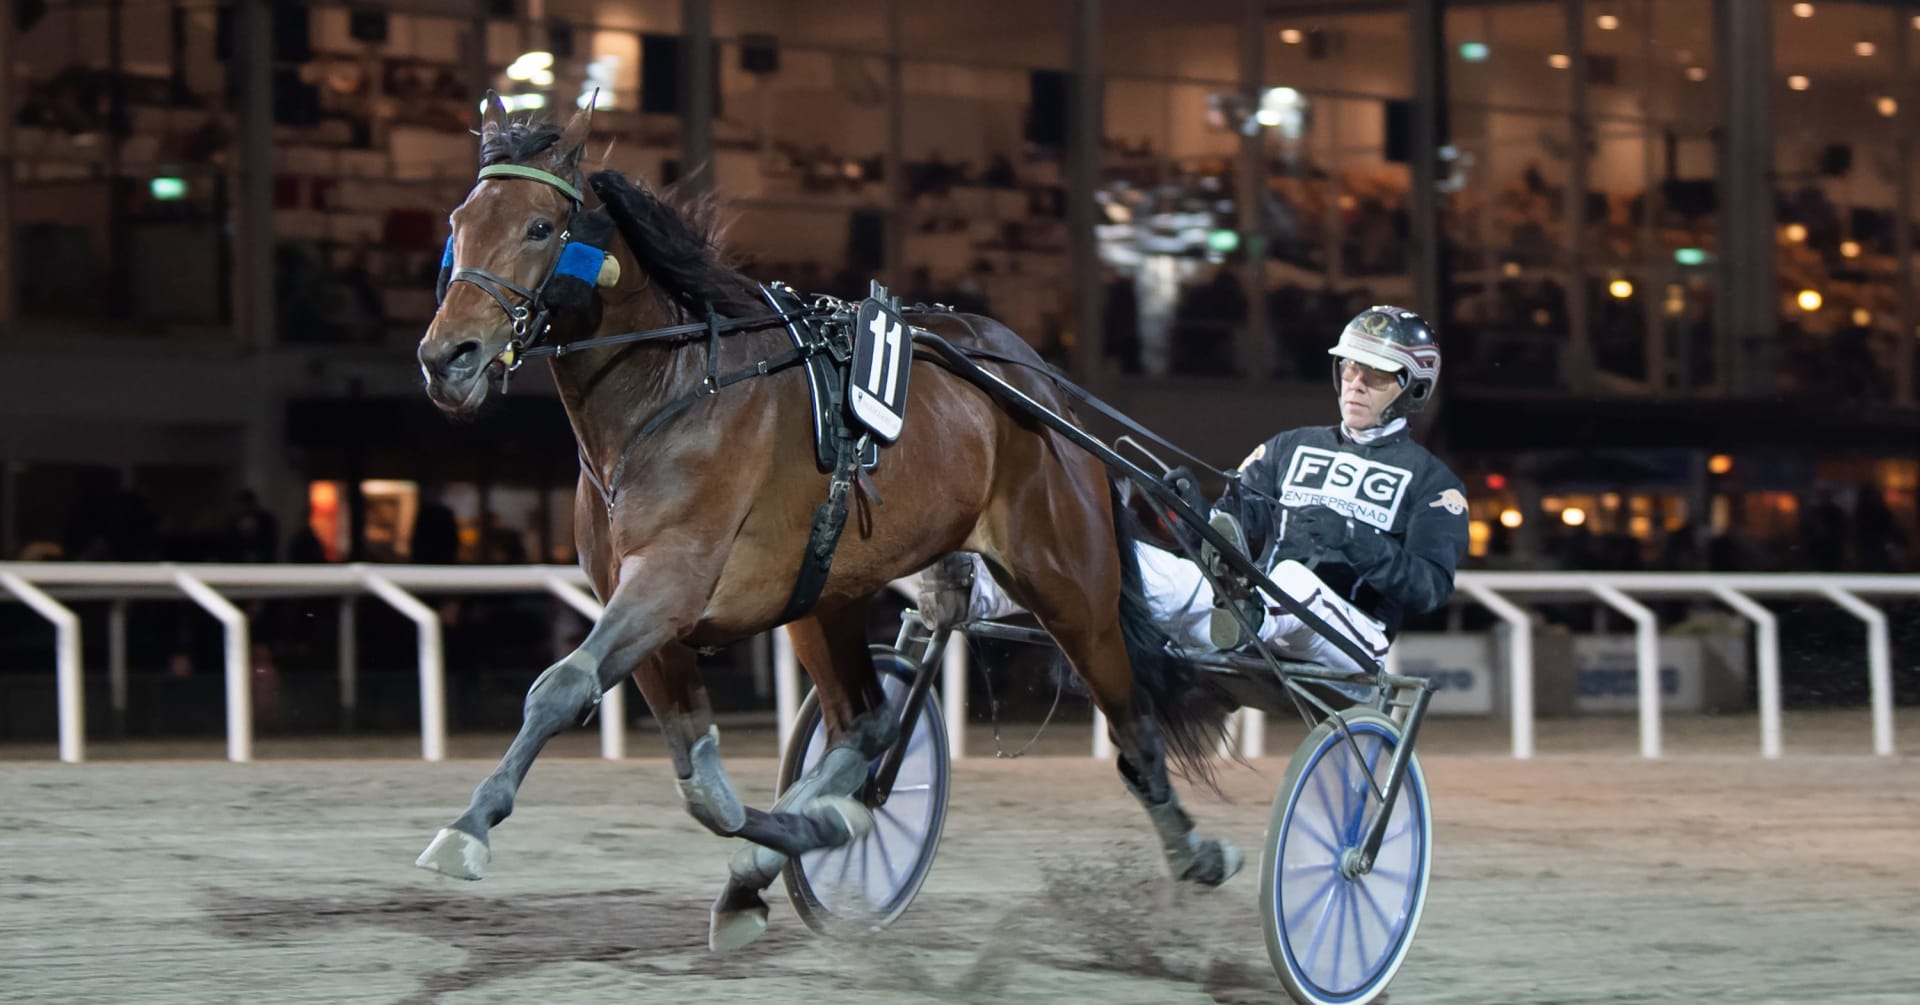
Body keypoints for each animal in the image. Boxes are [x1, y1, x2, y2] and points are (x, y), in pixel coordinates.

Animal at [410, 96, 1236, 953]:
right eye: (459, 220)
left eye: (540, 226)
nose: (447, 357)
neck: (670, 391)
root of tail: (1045, 387)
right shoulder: (652, 616)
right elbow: (707, 791)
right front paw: (780, 848)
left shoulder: (668, 583)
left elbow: (560, 685)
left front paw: (468, 827)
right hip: (825, 594)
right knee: (866, 725)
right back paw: (814, 829)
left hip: (1069, 585)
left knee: (1133, 719)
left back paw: (1195, 850)